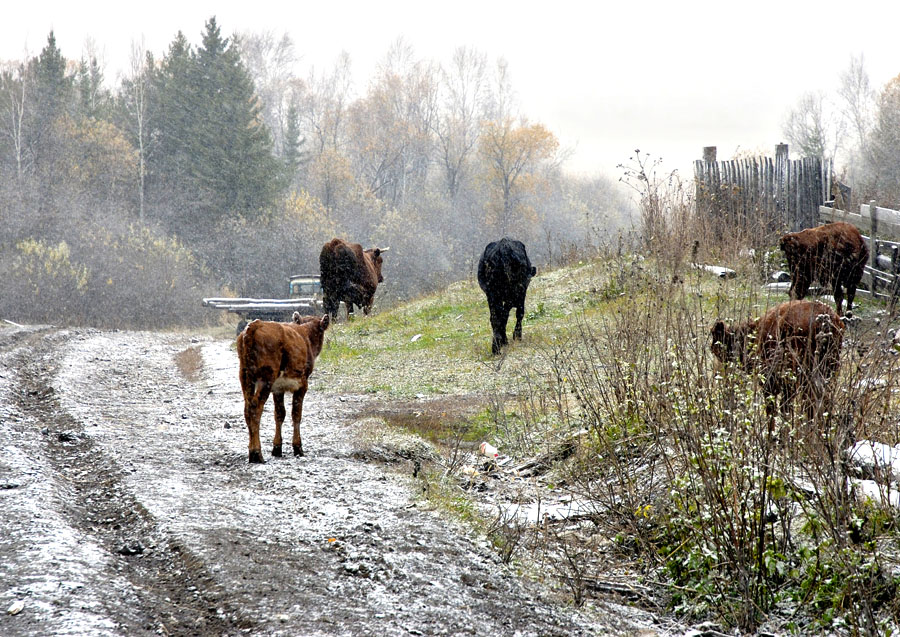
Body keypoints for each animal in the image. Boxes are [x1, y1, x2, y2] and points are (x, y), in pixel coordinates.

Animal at [236, 310, 330, 462]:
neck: (306, 334)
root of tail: (254, 325)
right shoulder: (302, 384)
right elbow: (296, 414)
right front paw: (298, 448)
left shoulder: (278, 387)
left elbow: (279, 414)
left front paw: (277, 448)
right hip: (266, 377)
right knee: (255, 407)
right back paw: (257, 453)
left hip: (245, 376)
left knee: (247, 408)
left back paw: (251, 452)